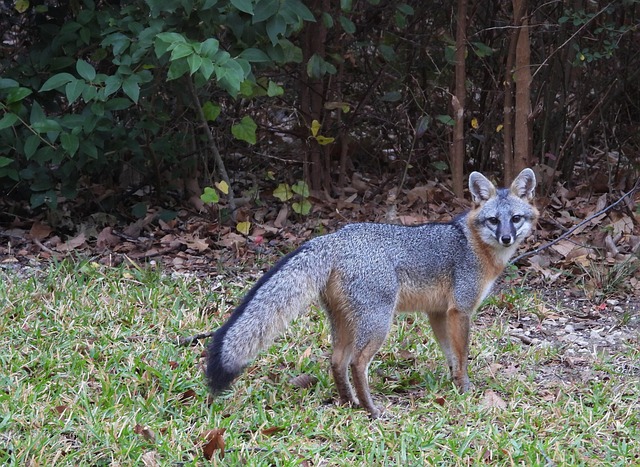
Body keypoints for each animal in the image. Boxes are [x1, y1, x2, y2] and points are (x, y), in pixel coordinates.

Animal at [206, 168, 538, 418]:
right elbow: (462, 354)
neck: (474, 244)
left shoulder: (438, 313)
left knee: (337, 361)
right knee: (356, 363)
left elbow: (450, 354)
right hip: (378, 323)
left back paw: (348, 403)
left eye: (515, 219)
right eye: (493, 220)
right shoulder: (461, 310)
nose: (506, 238)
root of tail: (335, 237)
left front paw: (454, 383)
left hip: (345, 323)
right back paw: (371, 410)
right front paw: (465, 389)